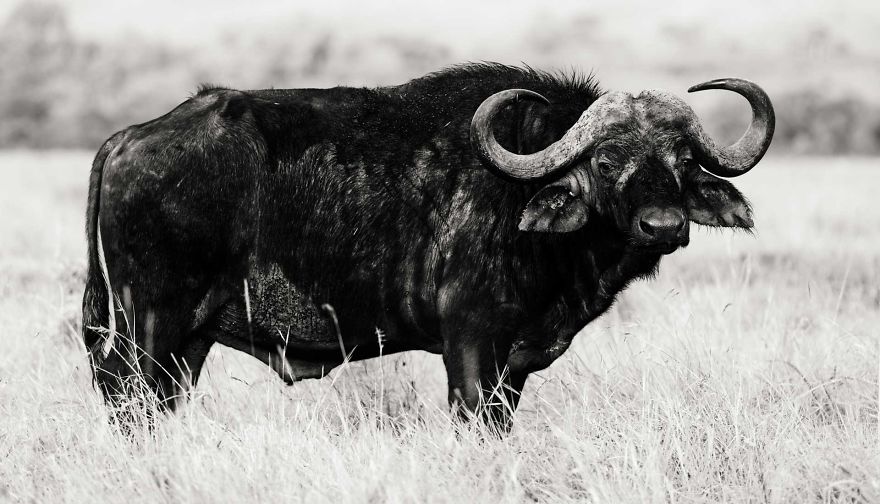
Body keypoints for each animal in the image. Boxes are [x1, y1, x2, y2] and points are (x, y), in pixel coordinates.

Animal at [82, 63, 774, 429]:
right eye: (606, 162)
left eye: (682, 162)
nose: (664, 226)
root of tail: (130, 138)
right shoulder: (470, 346)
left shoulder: (514, 368)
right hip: (150, 327)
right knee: (126, 400)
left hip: (189, 341)